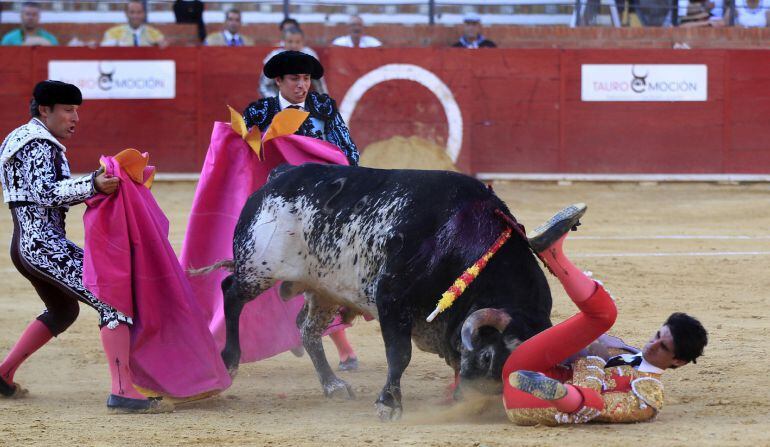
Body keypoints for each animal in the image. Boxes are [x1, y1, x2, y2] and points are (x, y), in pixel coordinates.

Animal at [219, 164, 548, 420]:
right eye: (487, 357)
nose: (475, 404)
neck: (459, 235)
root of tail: (279, 176)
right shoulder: (391, 296)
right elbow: (399, 354)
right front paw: (388, 404)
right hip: (257, 267)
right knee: (231, 294)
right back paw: (229, 361)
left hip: (324, 290)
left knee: (307, 330)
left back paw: (333, 385)